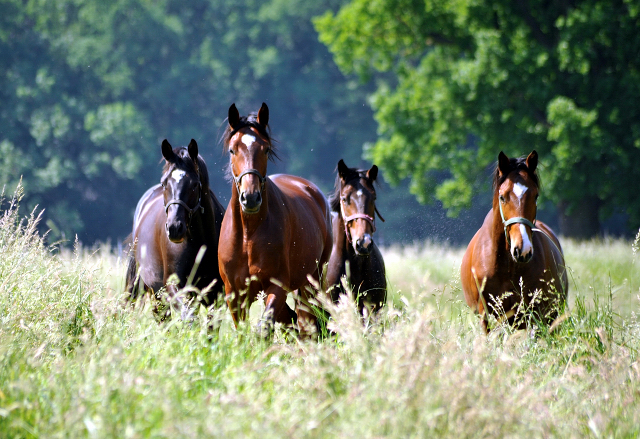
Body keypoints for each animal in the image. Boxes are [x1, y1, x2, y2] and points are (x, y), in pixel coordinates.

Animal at [218, 103, 332, 336]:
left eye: (266, 149)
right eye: (233, 150)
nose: (250, 197)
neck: (248, 234)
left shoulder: (277, 286)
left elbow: (265, 327)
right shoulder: (234, 294)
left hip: (311, 281)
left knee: (307, 319)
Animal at [460, 151, 568, 334]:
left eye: (535, 196)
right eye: (502, 197)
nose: (522, 249)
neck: (508, 265)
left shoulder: (536, 315)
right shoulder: (488, 318)